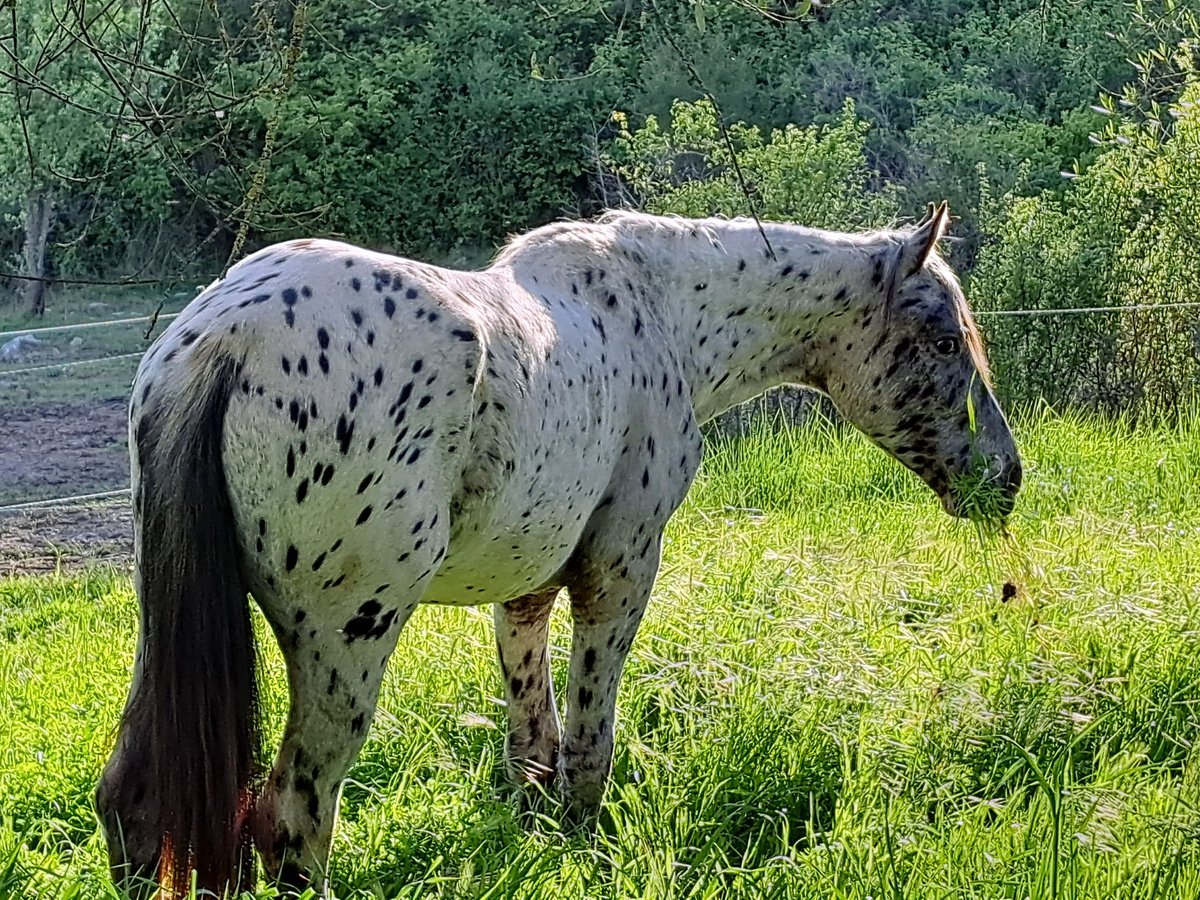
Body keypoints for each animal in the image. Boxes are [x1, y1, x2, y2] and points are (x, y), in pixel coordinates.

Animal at [96, 202, 1022, 897]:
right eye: (945, 340)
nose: (1007, 478)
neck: (659, 312)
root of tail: (226, 338)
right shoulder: (619, 574)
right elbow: (586, 745)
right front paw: (583, 844)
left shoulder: (528, 591)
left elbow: (531, 744)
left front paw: (540, 843)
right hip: (346, 647)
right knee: (294, 819)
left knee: (133, 805)